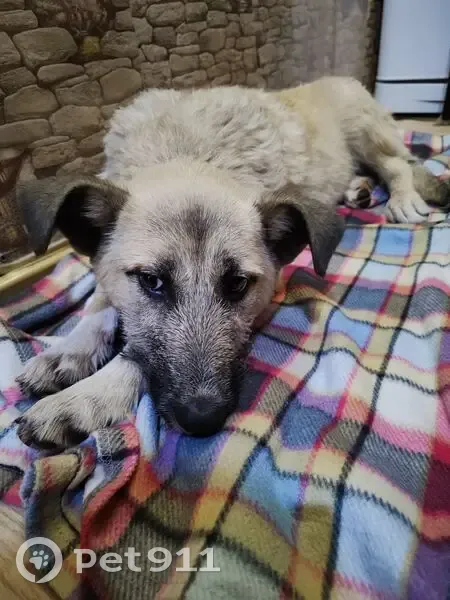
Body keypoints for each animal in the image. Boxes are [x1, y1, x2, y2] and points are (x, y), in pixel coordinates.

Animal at [14, 76, 450, 449]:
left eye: (238, 283)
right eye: (152, 281)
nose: (202, 420)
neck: (189, 153)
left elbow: (134, 357)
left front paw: (86, 396)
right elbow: (100, 302)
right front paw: (69, 350)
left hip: (364, 128)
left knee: (397, 164)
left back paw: (402, 197)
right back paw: (357, 189)